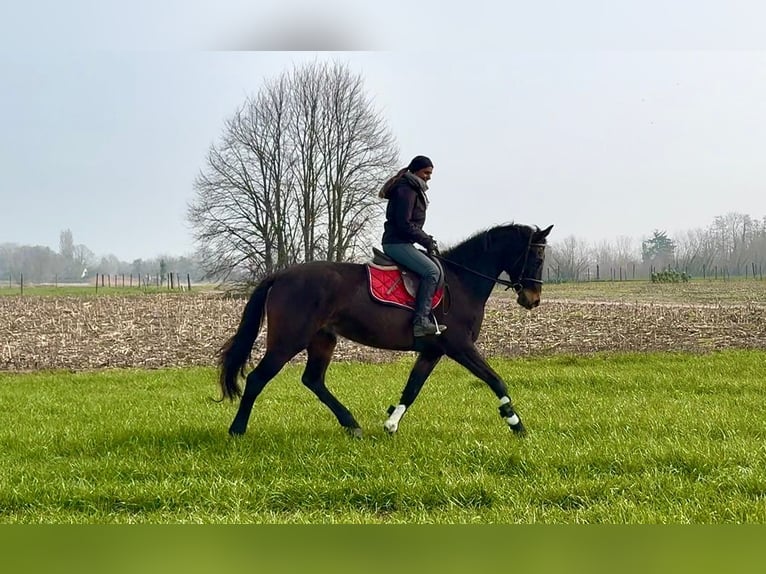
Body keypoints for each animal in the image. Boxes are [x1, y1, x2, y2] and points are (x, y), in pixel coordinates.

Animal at [218, 222, 553, 438]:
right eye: (537, 256)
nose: (533, 299)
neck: (462, 281)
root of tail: (281, 274)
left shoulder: (433, 351)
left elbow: (412, 388)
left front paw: (391, 424)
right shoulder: (459, 346)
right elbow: (495, 380)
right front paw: (516, 424)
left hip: (322, 340)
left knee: (313, 380)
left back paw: (351, 424)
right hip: (288, 341)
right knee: (258, 379)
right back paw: (237, 430)